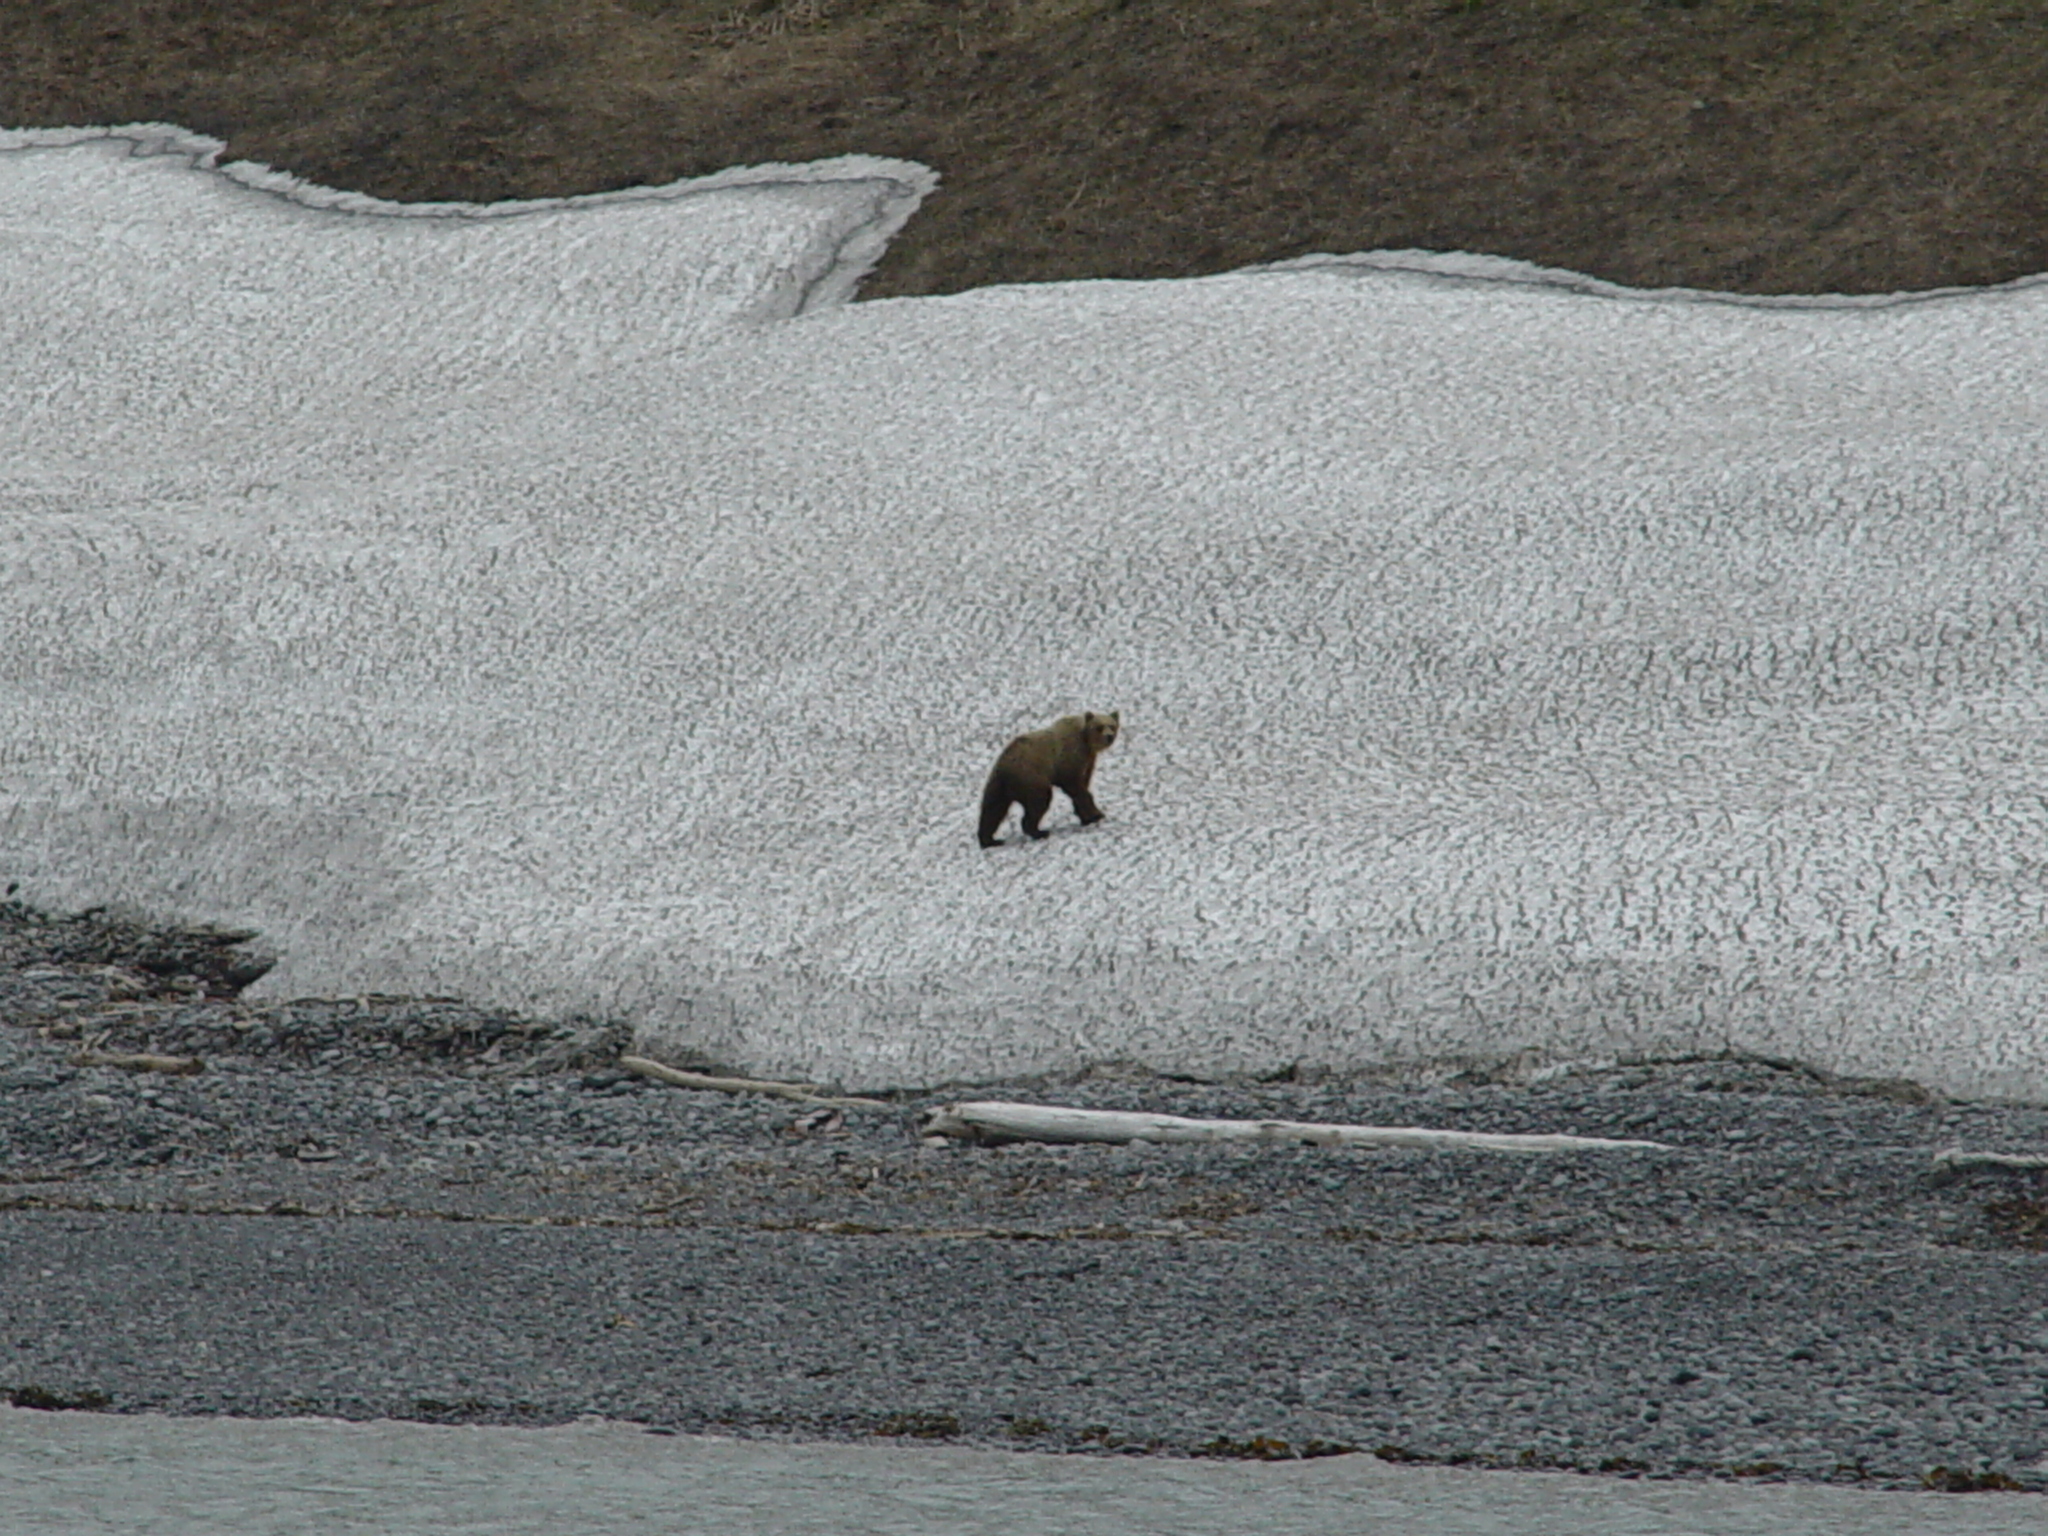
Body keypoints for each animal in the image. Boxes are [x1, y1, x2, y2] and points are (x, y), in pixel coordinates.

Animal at [974, 712, 1122, 847]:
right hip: (1030, 778)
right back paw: (1039, 832)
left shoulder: (1088, 760)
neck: (1087, 742)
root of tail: (1004, 767)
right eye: (1099, 727)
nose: (1109, 736)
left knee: (992, 810)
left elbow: (1082, 785)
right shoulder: (1069, 756)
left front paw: (1086, 817)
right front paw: (1096, 815)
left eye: (1112, 726)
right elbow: (1075, 786)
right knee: (1039, 801)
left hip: (998, 784)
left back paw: (990, 840)